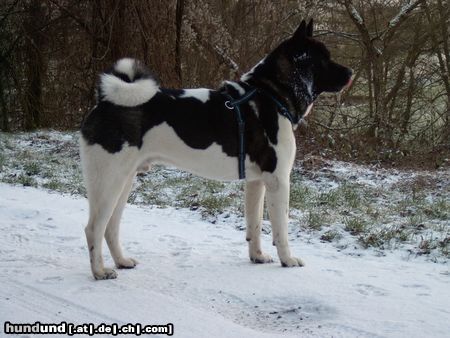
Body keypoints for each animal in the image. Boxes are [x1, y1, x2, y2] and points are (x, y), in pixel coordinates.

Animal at [82, 20, 354, 280]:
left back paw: (121, 261)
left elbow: (254, 225)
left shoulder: (257, 182)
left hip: (124, 181)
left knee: (110, 227)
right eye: (323, 59)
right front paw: (287, 260)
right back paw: (100, 272)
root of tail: (105, 101)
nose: (351, 71)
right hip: (109, 182)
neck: (271, 94)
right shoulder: (278, 181)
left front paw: (257, 256)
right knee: (94, 228)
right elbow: (281, 230)